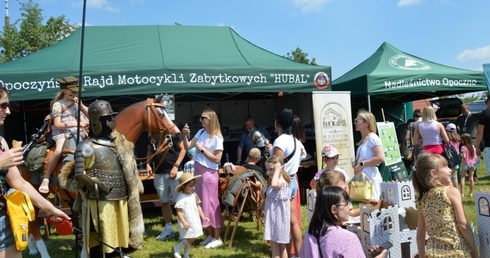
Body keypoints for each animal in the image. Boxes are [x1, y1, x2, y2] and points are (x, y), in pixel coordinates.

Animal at [22, 94, 180, 258]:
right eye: (161, 115)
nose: (178, 135)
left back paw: (33, 249)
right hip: (34, 193)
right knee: (33, 222)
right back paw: (42, 251)